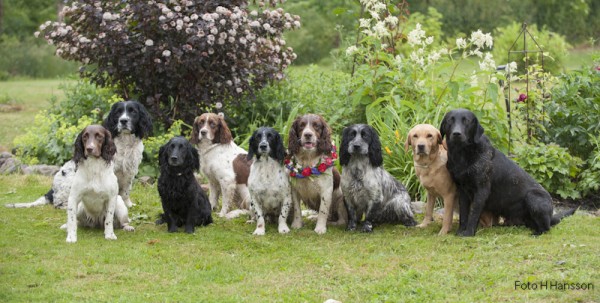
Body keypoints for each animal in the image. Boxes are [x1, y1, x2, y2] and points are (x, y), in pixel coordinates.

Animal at [438, 109, 576, 238]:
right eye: (450, 120)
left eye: (466, 121)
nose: (457, 133)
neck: (462, 155)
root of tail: (551, 215)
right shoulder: (462, 190)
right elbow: (464, 214)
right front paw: (460, 231)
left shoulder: (482, 190)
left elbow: (473, 214)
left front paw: (468, 233)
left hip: (533, 197)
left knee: (546, 228)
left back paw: (536, 233)